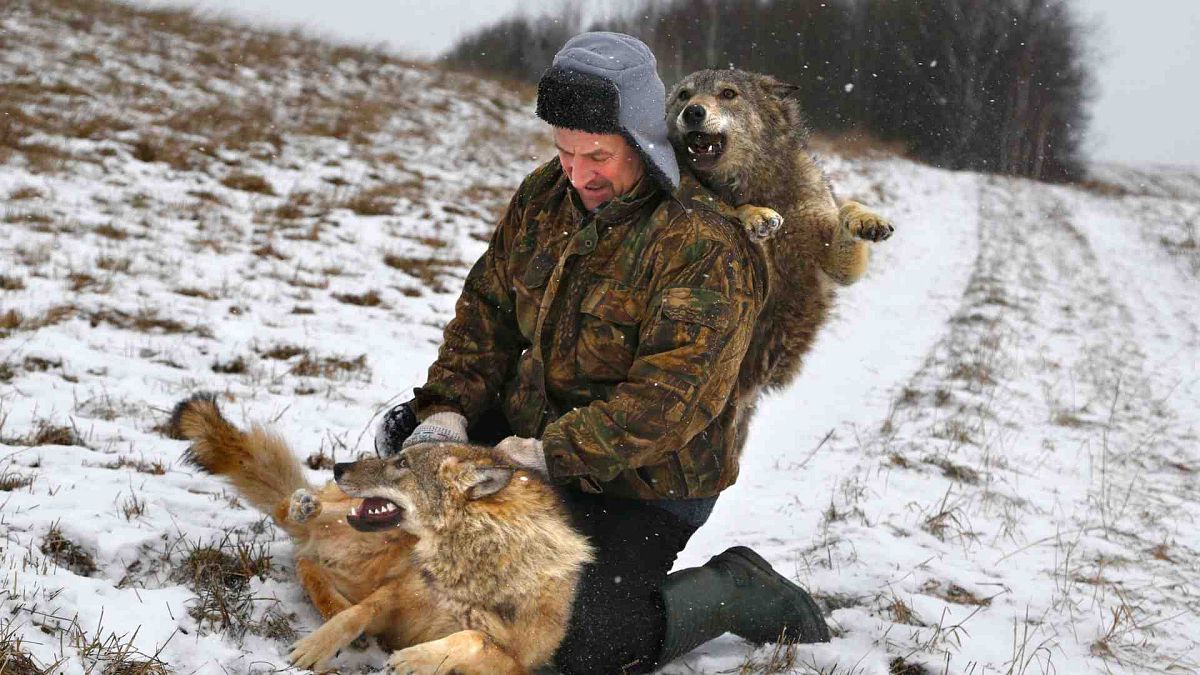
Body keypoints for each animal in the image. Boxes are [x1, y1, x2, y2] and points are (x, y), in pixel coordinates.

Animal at [171, 391, 592, 667]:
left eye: (401, 464)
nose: (339, 467)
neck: (465, 564)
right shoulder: (392, 597)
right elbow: (355, 616)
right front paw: (316, 647)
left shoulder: (516, 664)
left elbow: (470, 636)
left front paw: (413, 660)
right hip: (361, 530)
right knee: (294, 522)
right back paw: (304, 508)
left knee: (307, 563)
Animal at [672, 70, 897, 401]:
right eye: (684, 95)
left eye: (728, 94)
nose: (693, 112)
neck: (754, 184)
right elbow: (734, 209)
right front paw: (757, 216)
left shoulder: (835, 263)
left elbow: (847, 209)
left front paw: (867, 219)